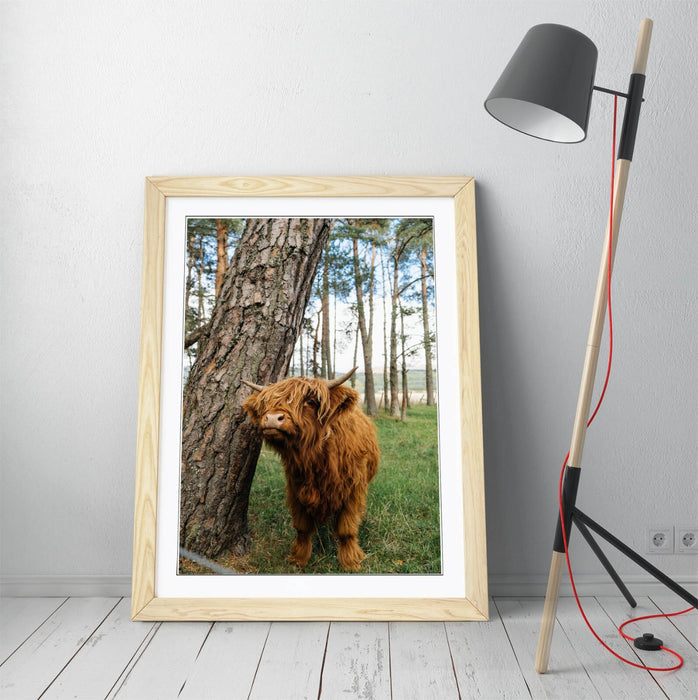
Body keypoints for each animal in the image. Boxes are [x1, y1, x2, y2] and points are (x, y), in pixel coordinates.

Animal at [242, 367, 380, 572]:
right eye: (267, 402)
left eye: (310, 401)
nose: (273, 418)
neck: (316, 459)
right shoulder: (296, 489)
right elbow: (302, 527)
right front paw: (299, 558)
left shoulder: (353, 491)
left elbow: (346, 528)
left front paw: (350, 562)